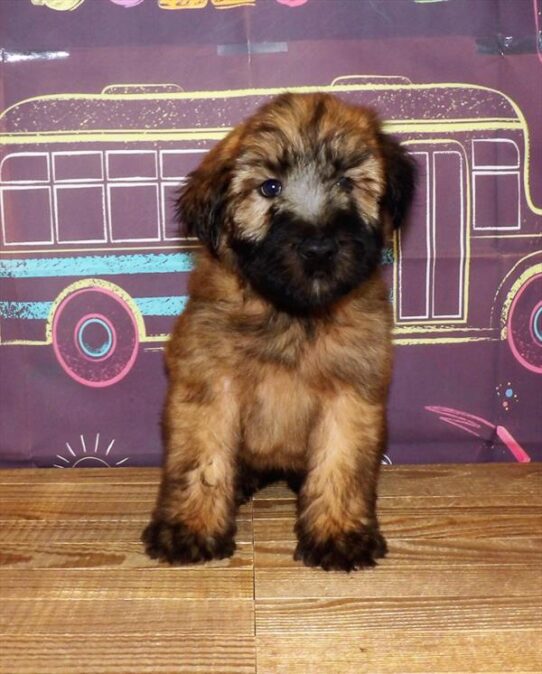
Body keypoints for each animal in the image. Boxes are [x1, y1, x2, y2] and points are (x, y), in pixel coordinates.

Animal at [143, 92, 416, 568]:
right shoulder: (209, 383)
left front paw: (337, 532)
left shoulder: (349, 390)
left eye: (346, 182)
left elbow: (341, 460)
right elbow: (202, 457)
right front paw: (191, 527)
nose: (319, 248)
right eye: (270, 187)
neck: (291, 315)